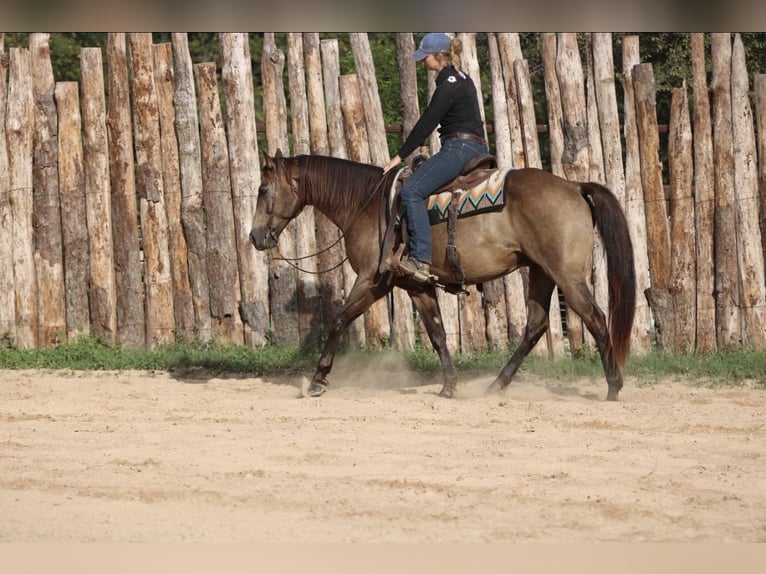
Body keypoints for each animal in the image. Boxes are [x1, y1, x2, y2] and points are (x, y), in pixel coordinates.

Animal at [250, 150, 636, 401]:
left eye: (263, 190)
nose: (255, 236)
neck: (367, 204)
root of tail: (574, 187)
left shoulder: (372, 281)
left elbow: (340, 319)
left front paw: (318, 379)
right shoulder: (414, 285)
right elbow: (437, 333)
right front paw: (449, 385)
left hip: (567, 277)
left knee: (595, 318)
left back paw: (613, 387)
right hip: (542, 272)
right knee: (536, 326)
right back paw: (496, 386)